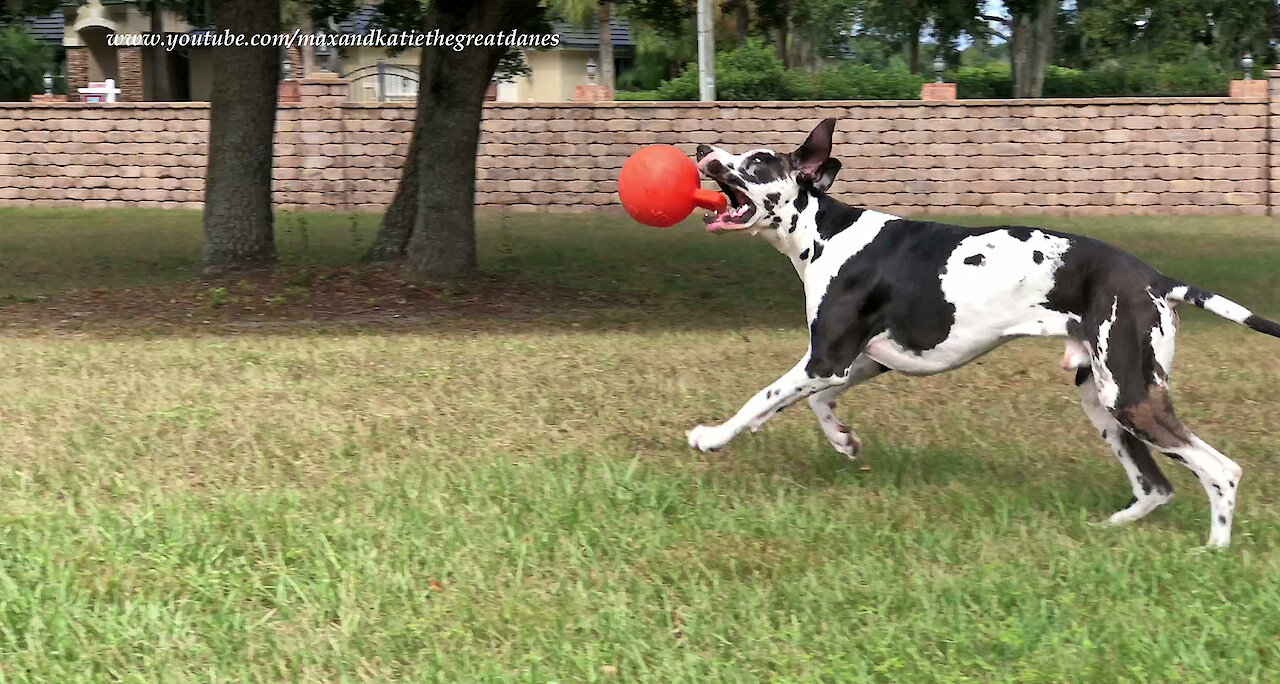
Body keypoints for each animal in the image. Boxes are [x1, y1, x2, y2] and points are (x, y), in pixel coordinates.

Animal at [691, 116, 1280, 548]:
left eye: (757, 161)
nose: (702, 148)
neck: (826, 234)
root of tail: (1155, 278)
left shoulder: (826, 359)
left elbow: (760, 398)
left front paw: (712, 437)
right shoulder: (863, 360)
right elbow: (815, 403)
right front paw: (842, 439)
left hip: (1130, 398)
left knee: (1221, 470)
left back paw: (1213, 550)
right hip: (1103, 401)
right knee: (1156, 486)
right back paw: (1110, 531)